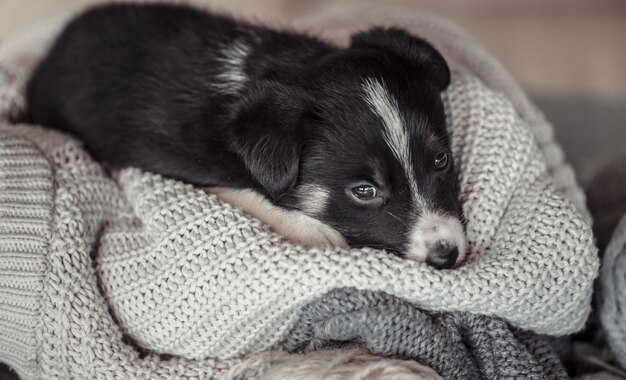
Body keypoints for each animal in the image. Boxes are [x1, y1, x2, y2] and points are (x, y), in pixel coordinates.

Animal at [24, 4, 464, 268]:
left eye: (441, 160)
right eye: (364, 191)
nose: (448, 255)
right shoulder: (166, 161)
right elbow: (244, 191)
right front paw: (315, 231)